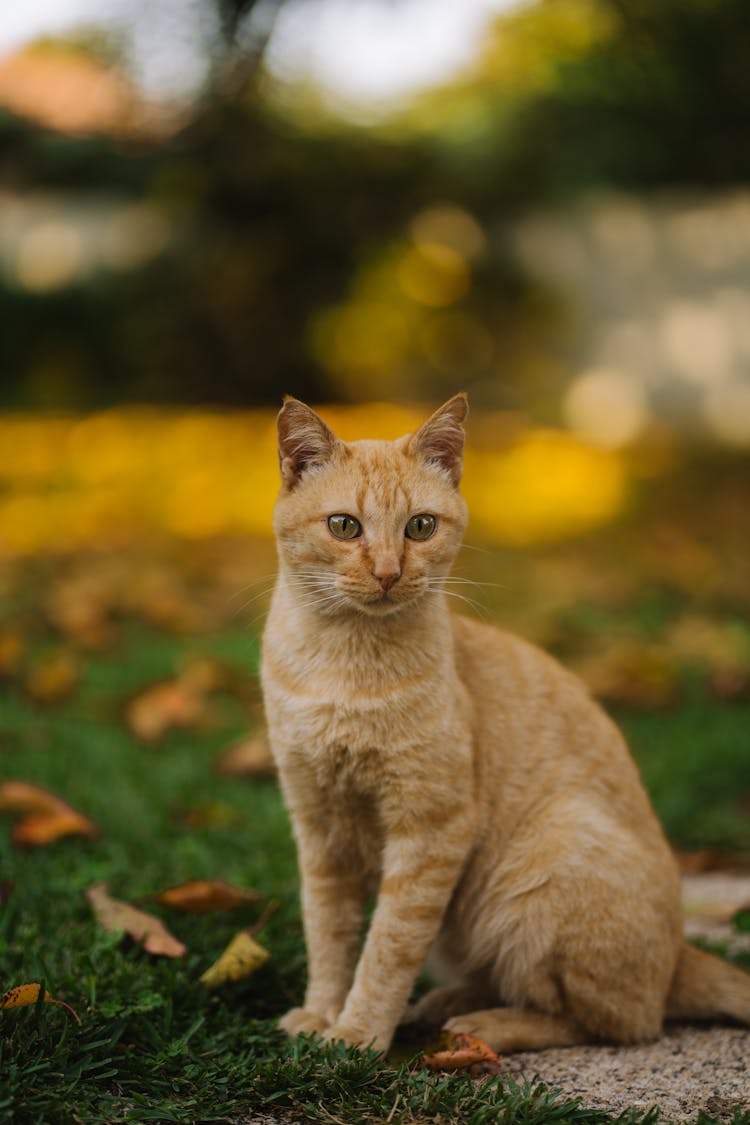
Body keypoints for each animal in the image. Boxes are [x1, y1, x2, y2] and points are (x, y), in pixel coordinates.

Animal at [259, 396, 750, 1053]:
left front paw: (358, 1032)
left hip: (545, 867)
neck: (344, 666)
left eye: (420, 527)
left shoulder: (432, 828)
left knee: (608, 1022)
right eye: (344, 527)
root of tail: (679, 956)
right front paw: (320, 1014)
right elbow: (328, 935)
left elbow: (388, 945)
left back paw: (479, 1024)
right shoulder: (318, 826)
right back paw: (445, 1002)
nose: (388, 572)